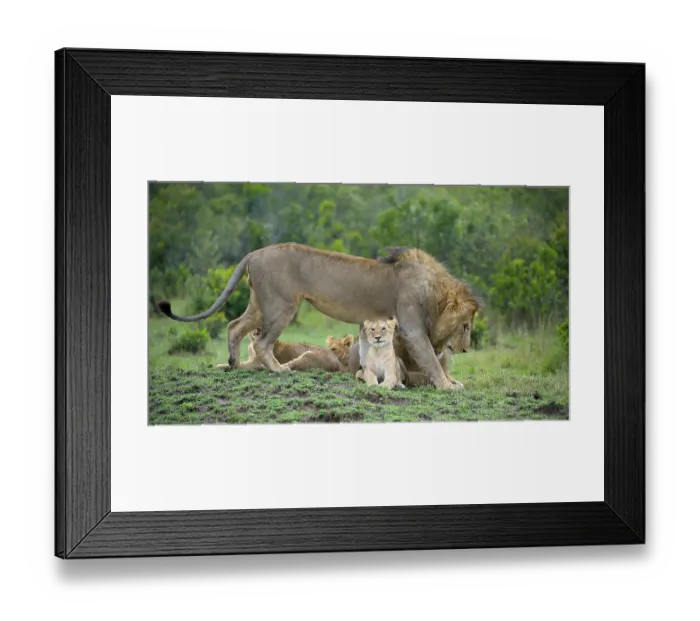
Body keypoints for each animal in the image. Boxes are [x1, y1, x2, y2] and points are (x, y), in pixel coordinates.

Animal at [158, 243, 480, 390]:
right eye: (466, 326)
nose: (466, 350)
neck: (435, 293)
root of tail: (255, 252)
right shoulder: (412, 328)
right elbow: (430, 360)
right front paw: (448, 386)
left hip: (259, 305)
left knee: (234, 326)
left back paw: (234, 363)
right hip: (281, 306)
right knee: (261, 342)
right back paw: (278, 370)